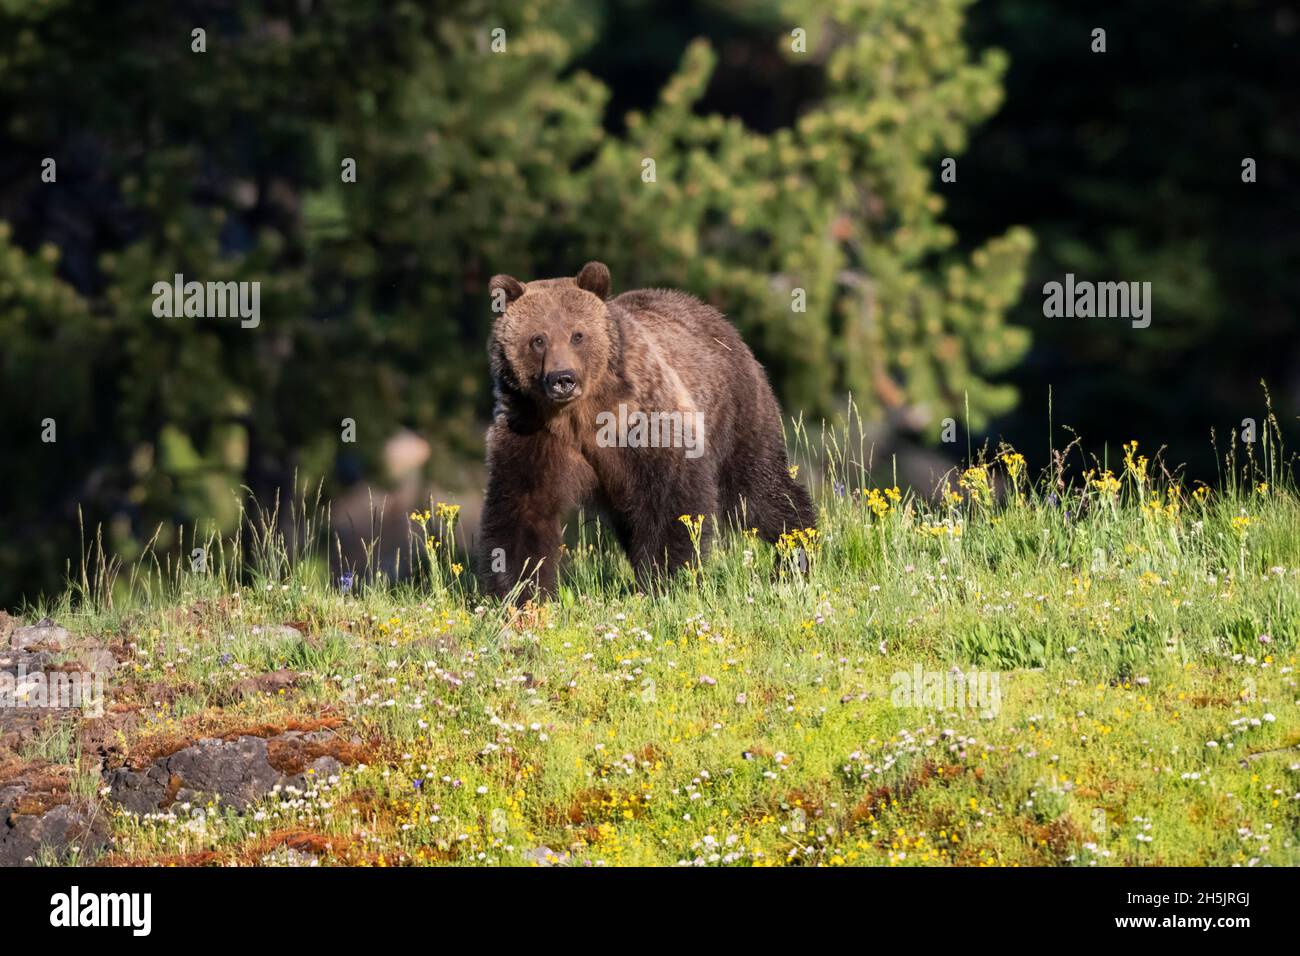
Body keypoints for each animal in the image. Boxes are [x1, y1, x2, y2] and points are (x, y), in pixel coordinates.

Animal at [480, 261, 811, 600]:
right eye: (538, 339)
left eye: (577, 335)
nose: (563, 378)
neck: (578, 414)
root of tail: (715, 316)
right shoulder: (534, 430)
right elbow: (523, 509)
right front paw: (519, 592)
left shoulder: (640, 419)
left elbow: (671, 497)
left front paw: (664, 578)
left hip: (735, 409)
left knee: (757, 488)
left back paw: (797, 549)